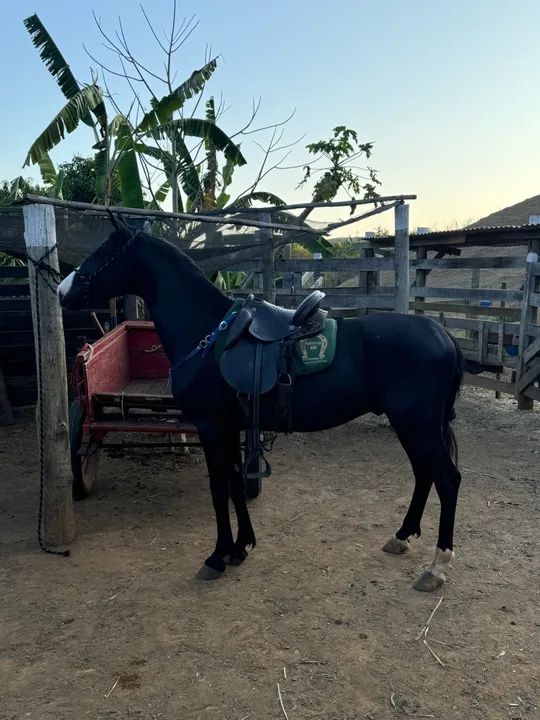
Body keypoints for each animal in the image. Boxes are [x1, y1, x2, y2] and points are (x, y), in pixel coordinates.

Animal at [58, 219, 464, 592]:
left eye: (104, 253)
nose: (63, 289)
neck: (207, 333)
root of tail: (443, 335)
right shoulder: (231, 426)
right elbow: (236, 483)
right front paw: (240, 547)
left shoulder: (210, 426)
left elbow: (218, 488)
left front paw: (217, 556)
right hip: (412, 426)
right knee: (424, 474)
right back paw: (402, 536)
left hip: (417, 425)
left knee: (446, 478)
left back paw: (436, 567)